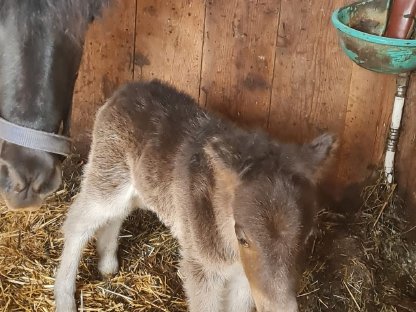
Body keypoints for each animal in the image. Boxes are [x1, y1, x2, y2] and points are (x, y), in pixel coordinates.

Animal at [53, 80, 336, 312]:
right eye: (243, 237)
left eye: (308, 237)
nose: (281, 308)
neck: (231, 250)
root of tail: (123, 90)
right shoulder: (200, 267)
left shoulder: (244, 277)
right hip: (108, 174)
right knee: (77, 221)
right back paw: (64, 300)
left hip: (136, 188)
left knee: (116, 216)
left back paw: (108, 265)